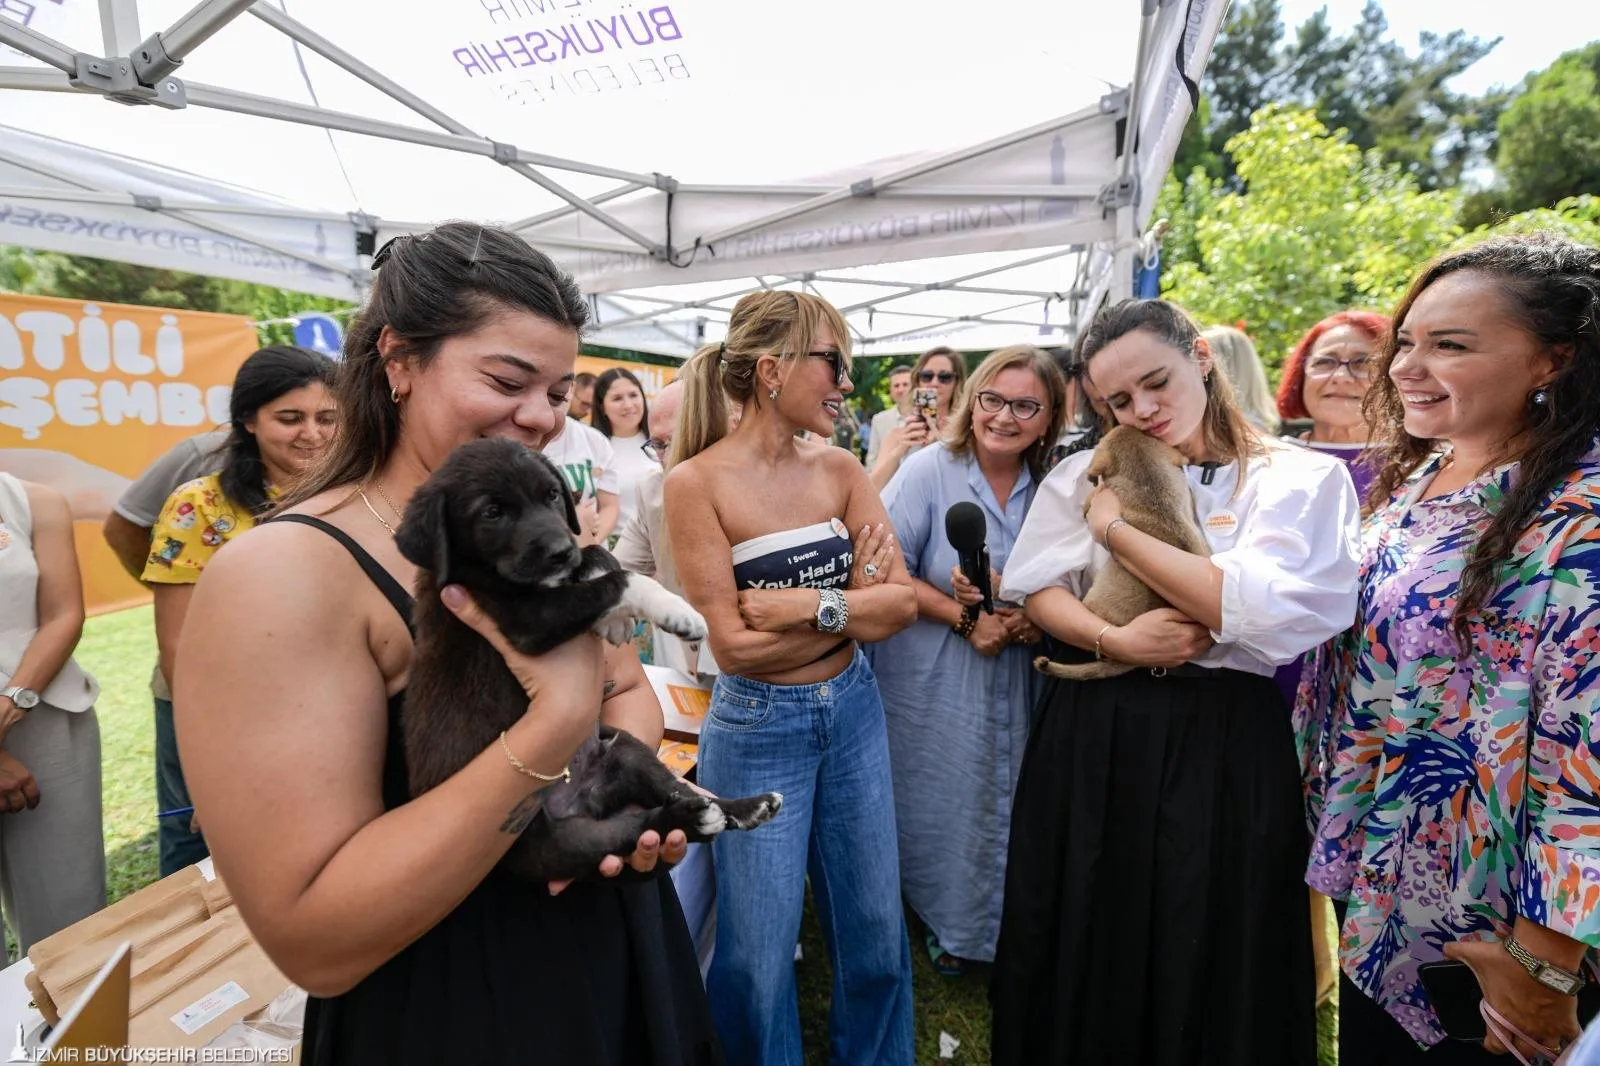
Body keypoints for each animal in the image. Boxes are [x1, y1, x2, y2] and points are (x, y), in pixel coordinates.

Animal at [393, 432, 780, 877]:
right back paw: (691, 819)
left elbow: (598, 557)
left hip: (625, 750)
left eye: (552, 495)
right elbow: (622, 579)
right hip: (565, 842)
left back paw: (745, 807)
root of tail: (585, 796)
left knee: (675, 787)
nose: (562, 551)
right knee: (638, 826)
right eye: (492, 512)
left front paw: (610, 611)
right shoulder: (526, 620)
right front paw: (677, 612)